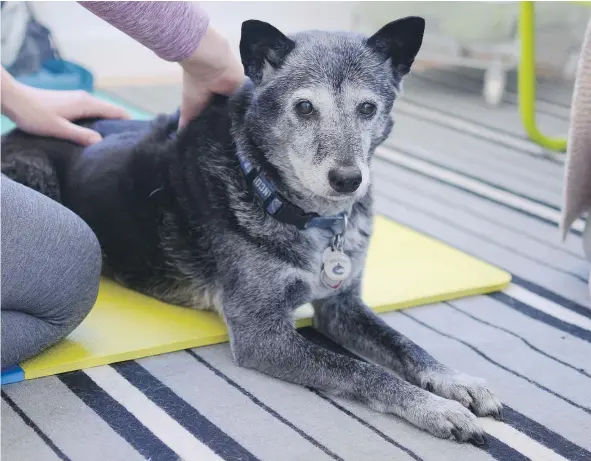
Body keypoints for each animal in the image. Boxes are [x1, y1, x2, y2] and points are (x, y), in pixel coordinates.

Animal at [2, 18, 502, 442]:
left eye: (367, 107)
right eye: (304, 107)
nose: (348, 179)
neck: (304, 212)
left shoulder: (341, 306)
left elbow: (403, 344)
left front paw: (457, 382)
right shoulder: (263, 335)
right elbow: (364, 371)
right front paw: (435, 408)